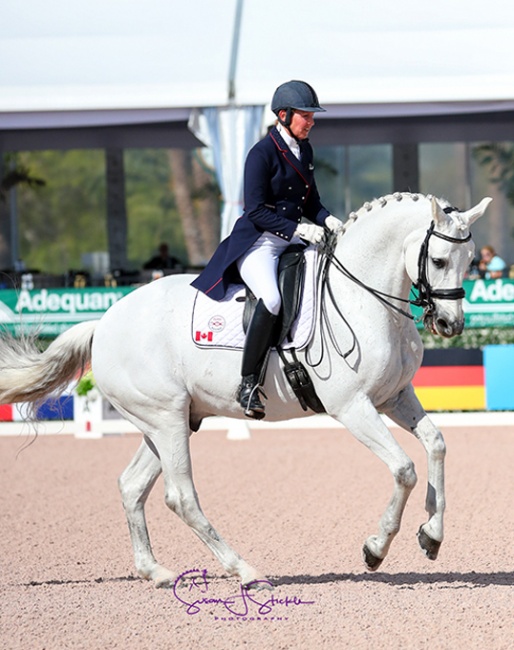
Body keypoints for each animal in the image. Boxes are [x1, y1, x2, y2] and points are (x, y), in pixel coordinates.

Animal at [0, 190, 488, 584]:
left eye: (469, 261)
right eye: (439, 261)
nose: (450, 325)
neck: (364, 298)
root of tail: (103, 322)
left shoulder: (394, 397)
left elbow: (437, 444)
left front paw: (432, 536)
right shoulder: (353, 407)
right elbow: (404, 469)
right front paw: (375, 548)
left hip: (167, 423)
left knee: (131, 486)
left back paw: (156, 572)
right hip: (166, 419)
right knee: (181, 498)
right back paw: (246, 571)